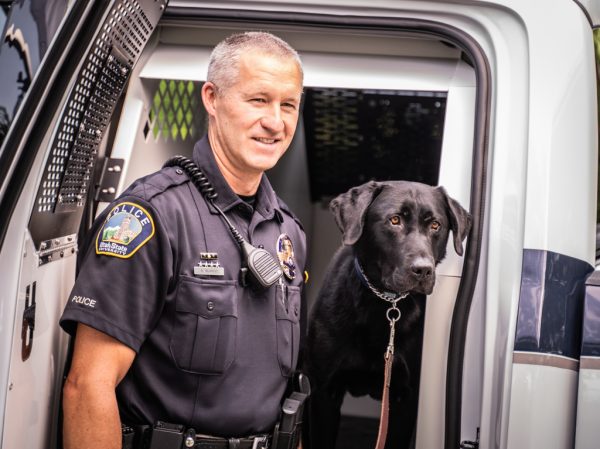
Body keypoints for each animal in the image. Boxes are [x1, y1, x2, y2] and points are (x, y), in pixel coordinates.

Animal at [302, 180, 472, 446]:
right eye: (394, 220)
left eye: (435, 225)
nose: (423, 270)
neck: (384, 303)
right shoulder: (323, 392)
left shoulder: (406, 401)